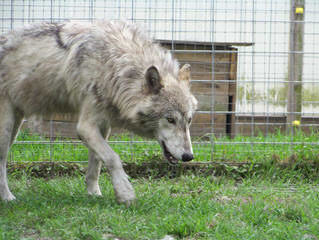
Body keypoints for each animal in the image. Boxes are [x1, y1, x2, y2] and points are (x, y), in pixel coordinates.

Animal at [0, 20, 199, 205]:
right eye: (170, 119)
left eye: (188, 120)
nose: (188, 157)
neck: (114, 65)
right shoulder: (85, 127)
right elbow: (112, 158)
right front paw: (125, 193)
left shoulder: (103, 126)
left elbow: (96, 163)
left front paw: (94, 193)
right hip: (6, 129)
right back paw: (7, 197)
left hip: (15, 128)